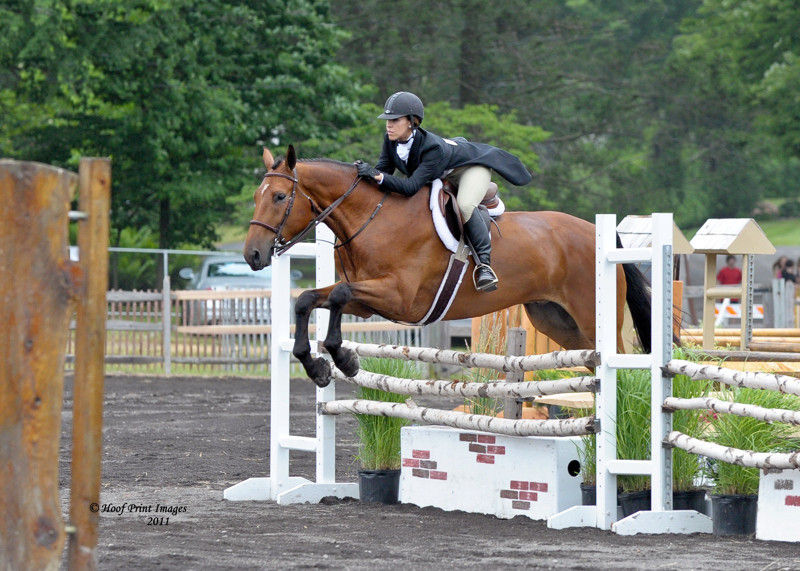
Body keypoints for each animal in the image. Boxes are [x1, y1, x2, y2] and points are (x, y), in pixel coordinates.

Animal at [245, 144, 648, 388]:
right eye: (255, 196)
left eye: (279, 197)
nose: (253, 255)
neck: (373, 218)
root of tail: (598, 232)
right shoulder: (369, 301)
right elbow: (310, 299)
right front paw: (319, 366)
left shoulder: (400, 298)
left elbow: (339, 294)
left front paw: (342, 359)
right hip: (558, 321)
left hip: (594, 319)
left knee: (623, 365)